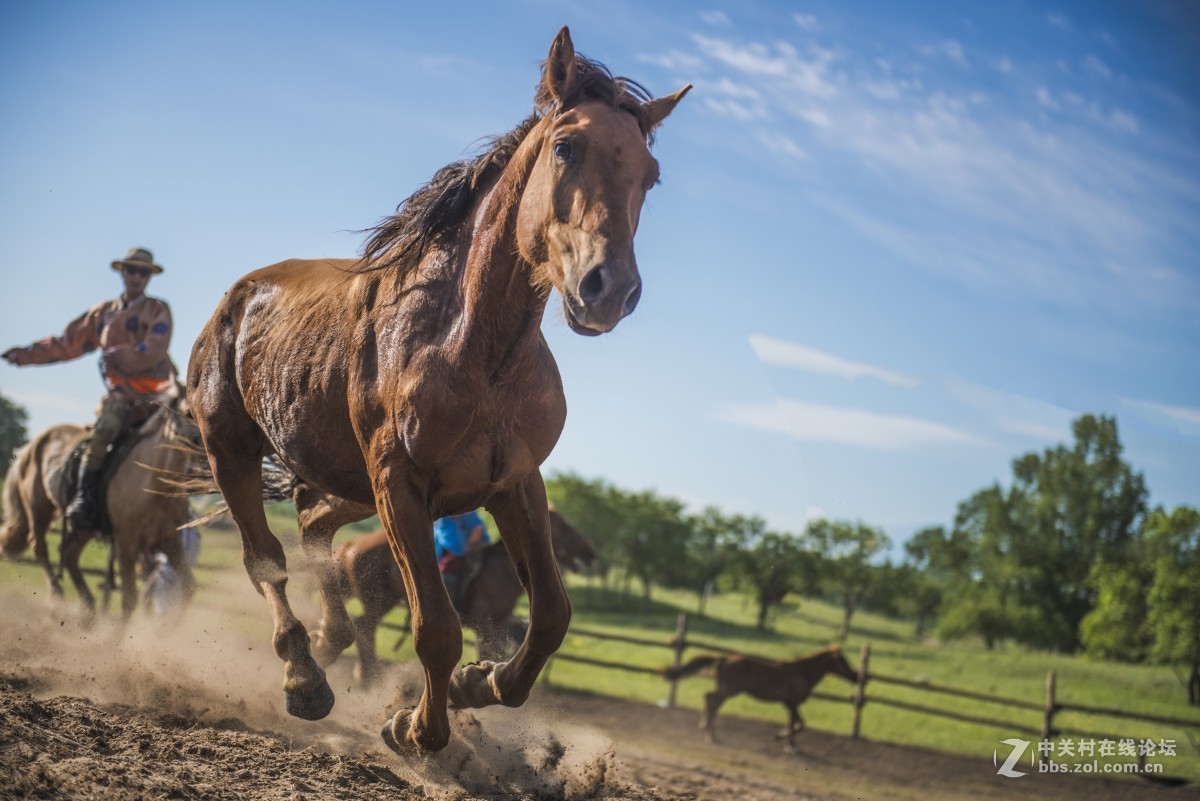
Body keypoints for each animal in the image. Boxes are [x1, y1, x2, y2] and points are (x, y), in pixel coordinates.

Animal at [1, 393, 196, 618]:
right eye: (186, 411)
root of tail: (30, 446)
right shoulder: (125, 543)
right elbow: (129, 599)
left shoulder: (169, 539)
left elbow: (187, 587)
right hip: (38, 509)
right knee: (39, 547)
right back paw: (58, 596)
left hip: (86, 526)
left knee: (69, 554)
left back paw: (89, 610)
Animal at [336, 510, 597, 685]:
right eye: (564, 527)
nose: (590, 553)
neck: (502, 572)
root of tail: (351, 544)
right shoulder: (485, 627)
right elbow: (486, 656)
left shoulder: (498, 628)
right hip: (378, 601)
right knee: (365, 627)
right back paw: (368, 677)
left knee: (362, 627)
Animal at [662, 642, 859, 753]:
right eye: (843, 661)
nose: (856, 676)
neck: (803, 672)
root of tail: (725, 658)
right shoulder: (792, 703)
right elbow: (800, 725)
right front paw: (780, 738)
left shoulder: (790, 705)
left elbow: (793, 724)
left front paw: (791, 746)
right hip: (729, 690)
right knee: (711, 700)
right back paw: (710, 735)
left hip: (727, 690)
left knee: (711, 700)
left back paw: (709, 733)